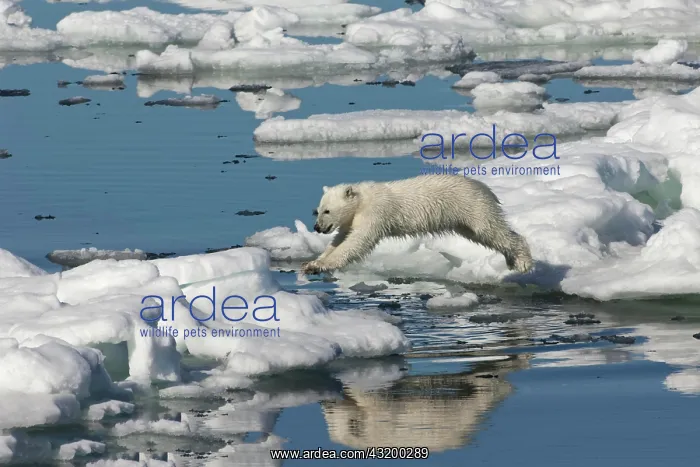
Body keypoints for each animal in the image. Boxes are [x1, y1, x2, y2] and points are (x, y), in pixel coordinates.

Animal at [300, 174, 534, 276]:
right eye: (317, 210)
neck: (362, 199)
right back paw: (511, 260)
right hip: (463, 219)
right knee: (483, 235)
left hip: (471, 206)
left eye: (326, 211)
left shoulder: (376, 212)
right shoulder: (351, 219)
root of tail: (485, 188)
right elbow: (340, 239)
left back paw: (523, 262)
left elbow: (358, 241)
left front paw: (321, 265)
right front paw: (312, 262)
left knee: (491, 229)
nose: (317, 228)